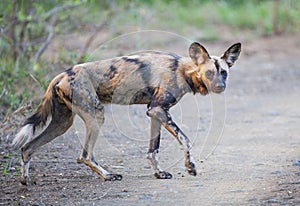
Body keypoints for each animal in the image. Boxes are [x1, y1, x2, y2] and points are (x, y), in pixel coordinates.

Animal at [12, 41, 241, 185]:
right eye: (209, 73)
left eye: (224, 73)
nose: (220, 87)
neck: (183, 70)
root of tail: (60, 75)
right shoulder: (158, 110)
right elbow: (185, 139)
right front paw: (190, 167)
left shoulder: (155, 112)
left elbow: (153, 150)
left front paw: (159, 173)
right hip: (97, 115)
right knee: (85, 156)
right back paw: (108, 176)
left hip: (62, 124)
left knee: (27, 148)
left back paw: (26, 180)